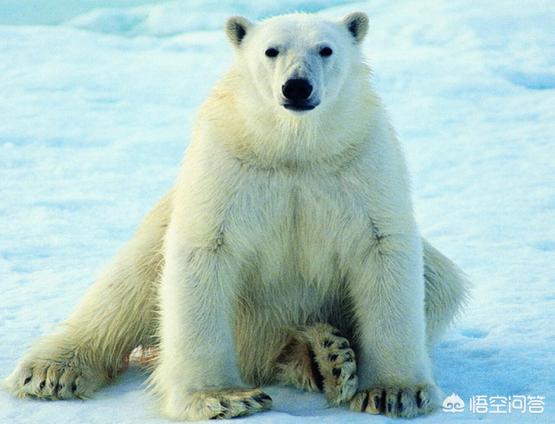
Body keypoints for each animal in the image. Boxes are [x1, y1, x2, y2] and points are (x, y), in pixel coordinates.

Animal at [4, 10, 470, 420]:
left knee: (440, 280)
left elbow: (383, 249)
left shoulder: (360, 163)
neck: (293, 151)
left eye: (326, 49)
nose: (296, 87)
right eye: (271, 50)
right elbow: (205, 253)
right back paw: (50, 371)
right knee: (124, 288)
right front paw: (223, 398)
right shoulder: (228, 164)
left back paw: (325, 356)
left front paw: (394, 392)